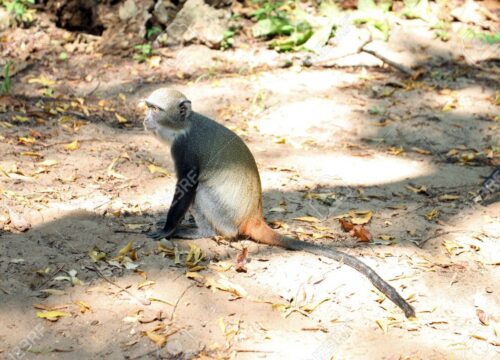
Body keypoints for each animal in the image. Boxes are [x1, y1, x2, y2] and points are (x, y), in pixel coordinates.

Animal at [141, 87, 414, 318]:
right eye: (148, 107)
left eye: (155, 109)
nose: (145, 119)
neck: (185, 125)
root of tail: (254, 217)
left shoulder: (184, 149)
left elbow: (187, 185)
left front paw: (167, 229)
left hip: (225, 215)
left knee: (202, 194)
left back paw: (203, 232)